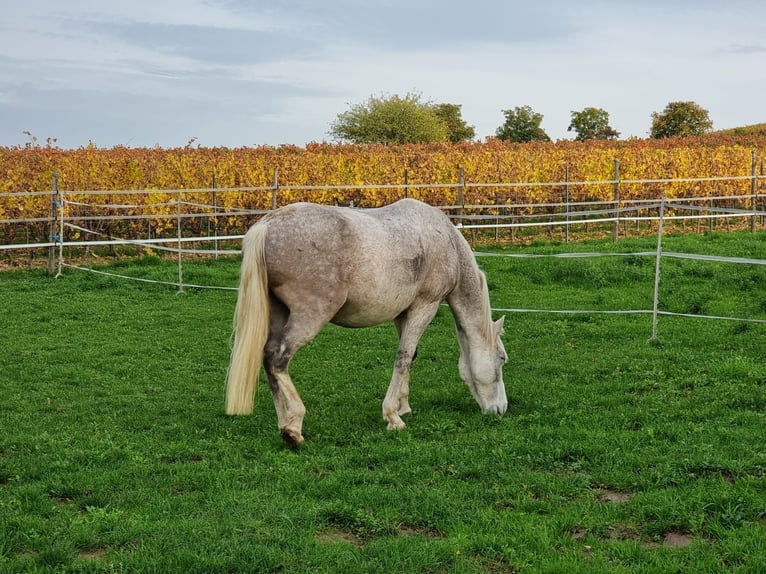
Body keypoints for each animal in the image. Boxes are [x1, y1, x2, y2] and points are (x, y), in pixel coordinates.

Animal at [225, 198, 508, 446]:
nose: (501, 408)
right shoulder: (425, 306)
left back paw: (284, 421)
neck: (447, 242)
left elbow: (410, 356)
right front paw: (393, 416)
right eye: (502, 359)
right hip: (309, 316)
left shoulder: (402, 314)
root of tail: (268, 225)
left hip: (278, 313)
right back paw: (294, 427)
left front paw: (403, 406)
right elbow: (403, 357)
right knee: (277, 357)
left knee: (267, 358)